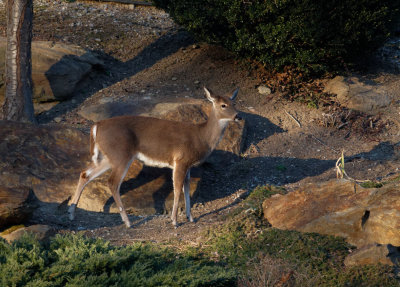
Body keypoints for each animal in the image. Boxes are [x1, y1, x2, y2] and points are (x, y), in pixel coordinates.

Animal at [68, 88, 241, 230]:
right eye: (223, 105)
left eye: (234, 102)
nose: (237, 116)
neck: (201, 137)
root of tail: (96, 126)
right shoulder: (181, 160)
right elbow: (177, 188)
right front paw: (174, 221)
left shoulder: (188, 165)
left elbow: (185, 188)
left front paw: (190, 217)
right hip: (121, 154)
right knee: (112, 182)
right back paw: (128, 222)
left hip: (108, 157)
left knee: (85, 173)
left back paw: (71, 213)